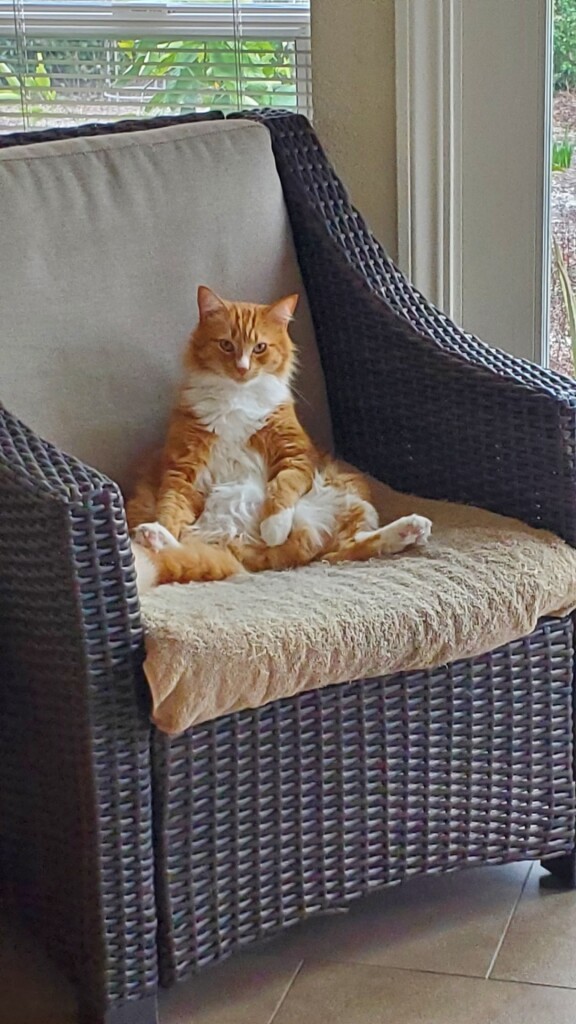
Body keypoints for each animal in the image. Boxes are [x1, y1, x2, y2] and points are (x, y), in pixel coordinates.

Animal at [126, 288, 430, 593]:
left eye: (260, 347)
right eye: (226, 345)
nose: (242, 368)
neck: (237, 398)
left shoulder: (296, 455)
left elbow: (282, 487)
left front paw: (274, 528)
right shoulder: (183, 468)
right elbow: (171, 510)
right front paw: (159, 531)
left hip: (348, 493)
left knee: (351, 547)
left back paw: (410, 528)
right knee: (188, 543)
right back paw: (153, 536)